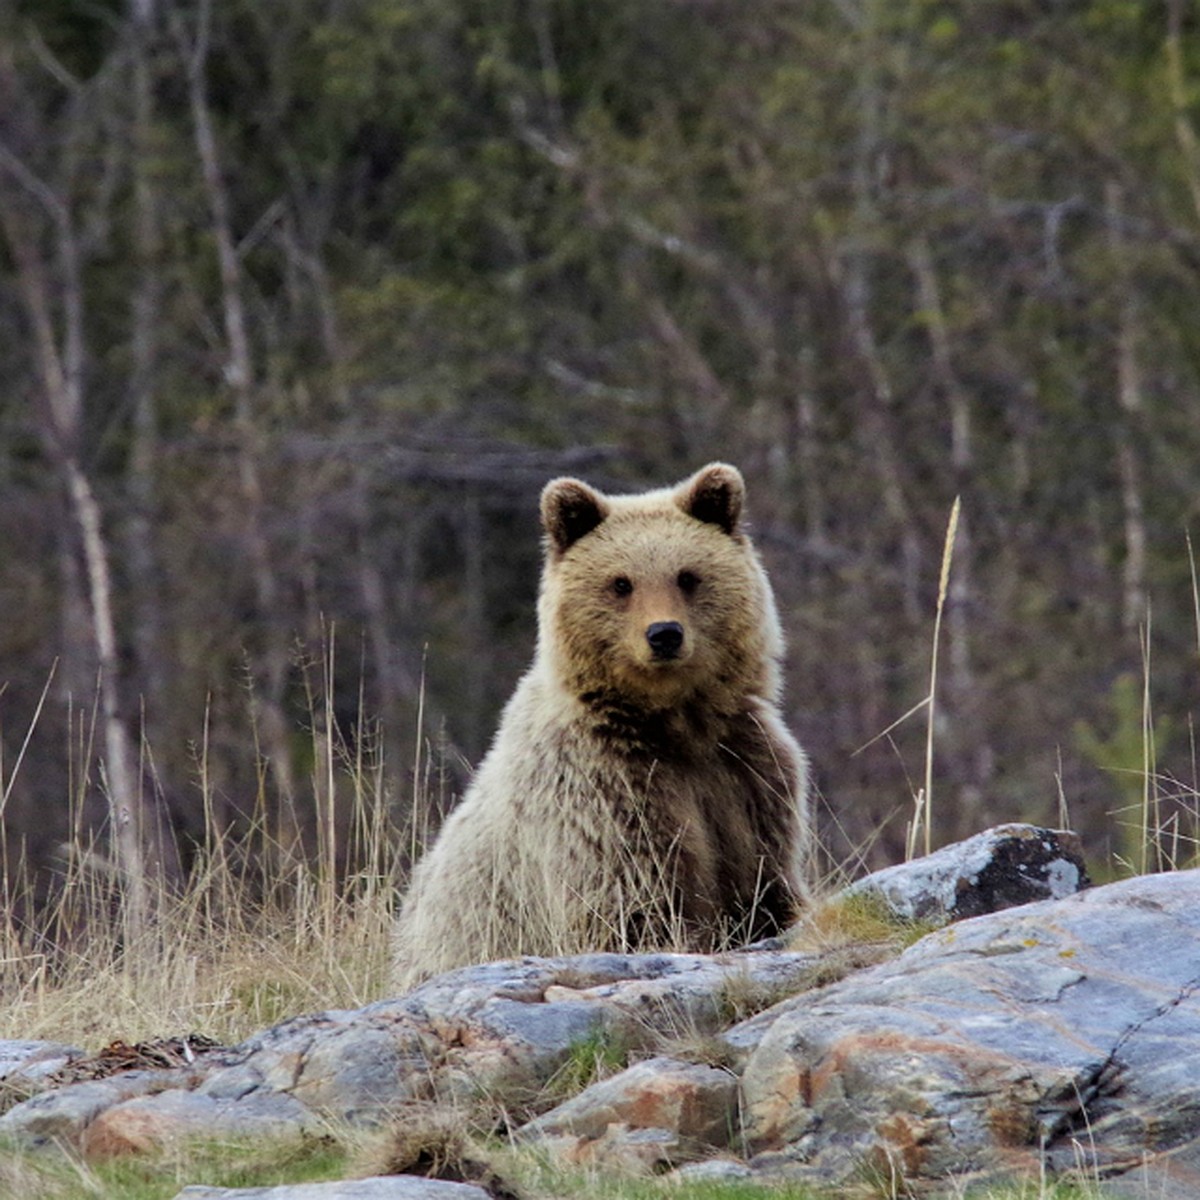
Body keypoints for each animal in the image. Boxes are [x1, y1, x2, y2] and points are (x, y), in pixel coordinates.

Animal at [388, 463, 811, 988]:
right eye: (621, 583)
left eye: (687, 576)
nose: (664, 634)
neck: (674, 724)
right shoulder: (603, 793)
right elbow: (633, 908)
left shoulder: (745, 775)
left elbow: (767, 884)